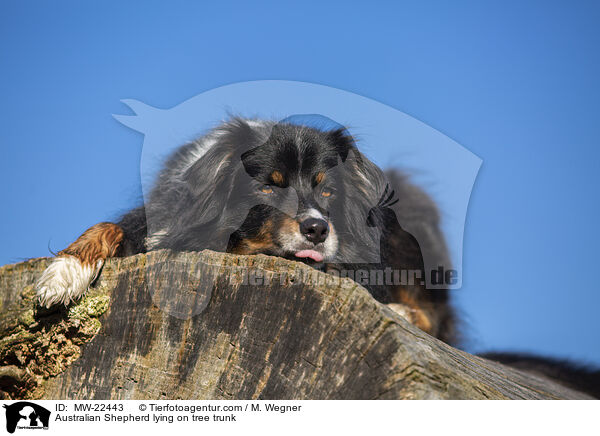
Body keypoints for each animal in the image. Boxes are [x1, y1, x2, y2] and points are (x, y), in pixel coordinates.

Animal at [36, 116, 454, 344]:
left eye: (328, 191)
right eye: (268, 188)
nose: (317, 229)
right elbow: (111, 226)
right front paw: (62, 275)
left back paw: (401, 310)